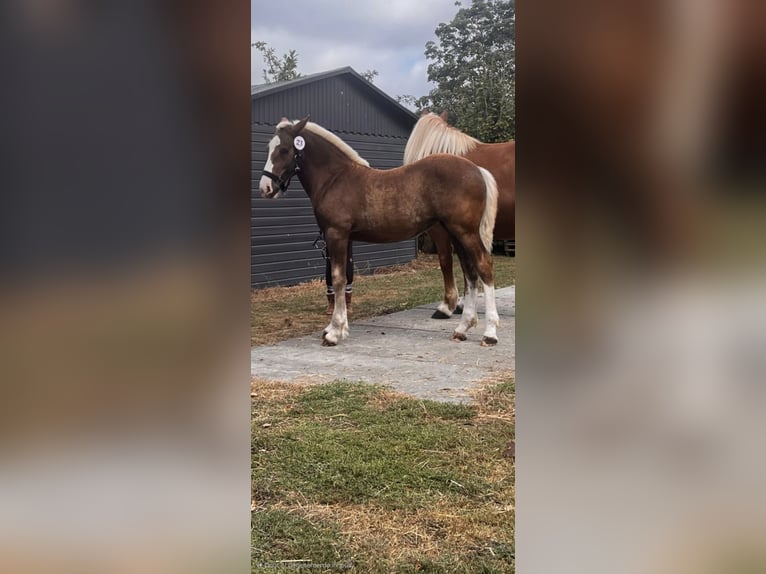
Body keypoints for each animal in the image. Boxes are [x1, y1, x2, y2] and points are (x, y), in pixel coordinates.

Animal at [258, 116, 500, 347]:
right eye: (269, 147)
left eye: (285, 149)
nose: (266, 188)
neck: (335, 179)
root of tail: (478, 170)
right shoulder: (343, 239)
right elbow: (344, 278)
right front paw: (336, 328)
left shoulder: (337, 234)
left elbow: (338, 279)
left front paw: (334, 332)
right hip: (456, 233)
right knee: (470, 272)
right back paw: (462, 328)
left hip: (465, 232)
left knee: (484, 266)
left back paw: (490, 334)